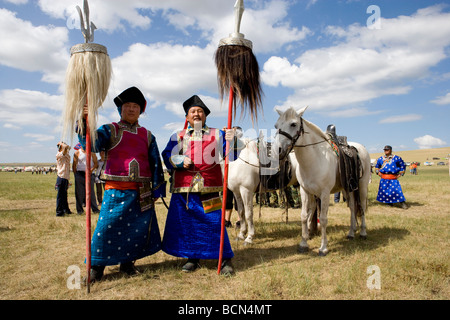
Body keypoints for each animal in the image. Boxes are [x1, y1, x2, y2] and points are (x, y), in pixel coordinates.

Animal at [272, 106, 370, 256]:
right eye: (276, 126)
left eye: (293, 124)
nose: (277, 150)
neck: (315, 159)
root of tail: (361, 148)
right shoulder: (305, 191)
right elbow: (304, 216)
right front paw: (303, 244)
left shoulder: (324, 193)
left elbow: (323, 219)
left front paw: (323, 248)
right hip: (348, 189)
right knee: (353, 208)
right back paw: (351, 233)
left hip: (362, 186)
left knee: (362, 207)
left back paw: (363, 232)